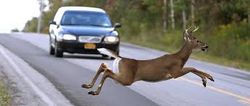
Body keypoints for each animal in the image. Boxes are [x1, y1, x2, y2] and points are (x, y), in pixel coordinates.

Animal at [81, 26, 214, 95]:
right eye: (197, 40)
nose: (206, 46)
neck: (180, 58)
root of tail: (121, 58)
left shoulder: (176, 72)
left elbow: (193, 68)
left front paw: (206, 80)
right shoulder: (175, 72)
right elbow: (192, 68)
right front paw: (208, 78)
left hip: (122, 73)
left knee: (104, 66)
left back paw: (88, 86)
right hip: (127, 78)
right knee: (107, 72)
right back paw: (94, 91)